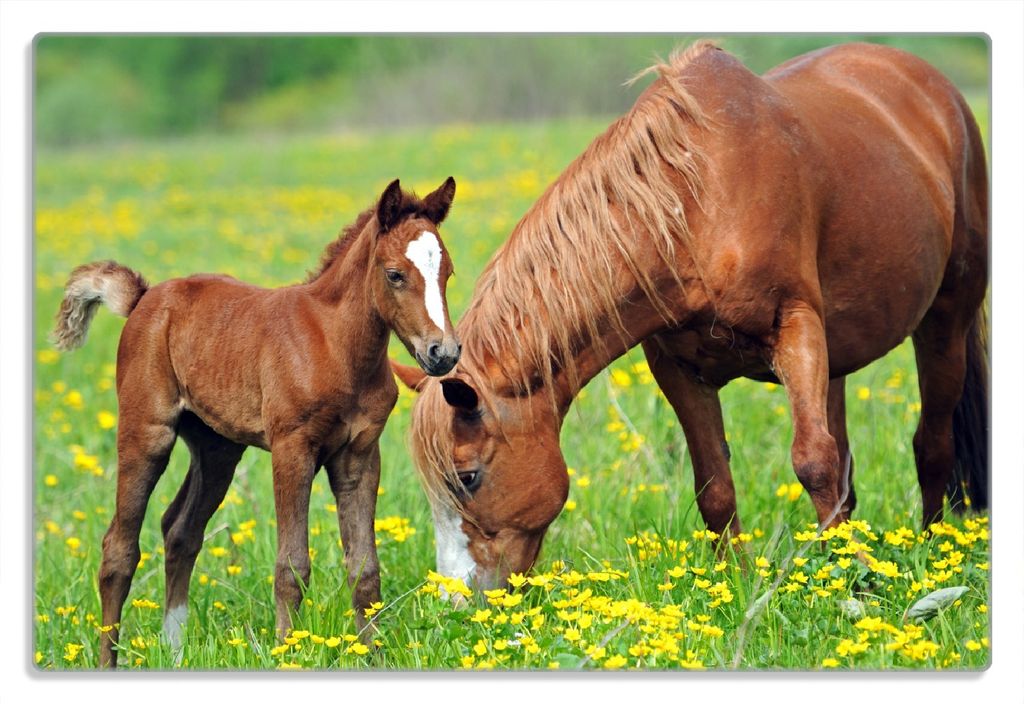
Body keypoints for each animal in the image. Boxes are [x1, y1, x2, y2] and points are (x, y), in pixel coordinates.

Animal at [53, 177, 461, 667]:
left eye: (447, 273)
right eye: (395, 274)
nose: (444, 353)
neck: (335, 345)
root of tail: (145, 298)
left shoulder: (360, 455)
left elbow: (365, 566)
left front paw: (374, 654)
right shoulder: (292, 448)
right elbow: (292, 564)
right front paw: (289, 650)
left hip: (217, 449)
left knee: (180, 530)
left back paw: (175, 650)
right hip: (146, 432)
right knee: (119, 548)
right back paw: (108, 660)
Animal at [393, 42, 989, 591]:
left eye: (468, 477)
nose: (458, 600)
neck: (699, 203)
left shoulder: (795, 328)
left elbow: (813, 461)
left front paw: (857, 580)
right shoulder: (679, 368)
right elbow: (715, 486)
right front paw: (736, 583)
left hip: (945, 319)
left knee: (931, 445)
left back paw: (934, 549)